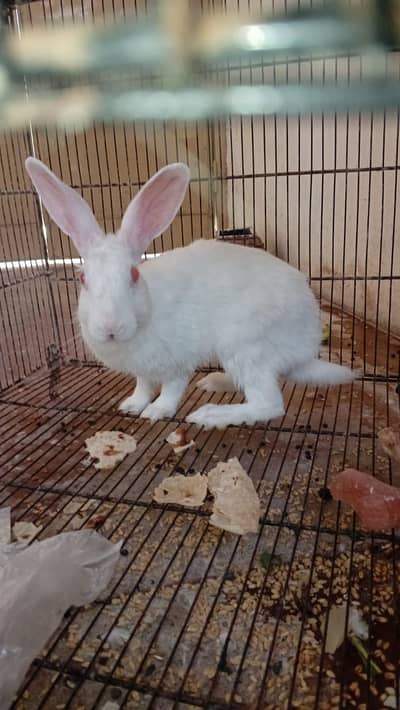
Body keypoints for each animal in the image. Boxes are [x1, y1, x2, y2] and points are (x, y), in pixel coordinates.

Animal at [25, 157, 357, 429]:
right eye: (82, 278)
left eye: (133, 275)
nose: (111, 327)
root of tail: (306, 348)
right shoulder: (142, 370)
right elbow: (143, 386)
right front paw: (132, 405)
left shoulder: (178, 362)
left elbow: (171, 389)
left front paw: (156, 411)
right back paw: (215, 381)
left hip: (246, 345)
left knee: (269, 403)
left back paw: (210, 415)